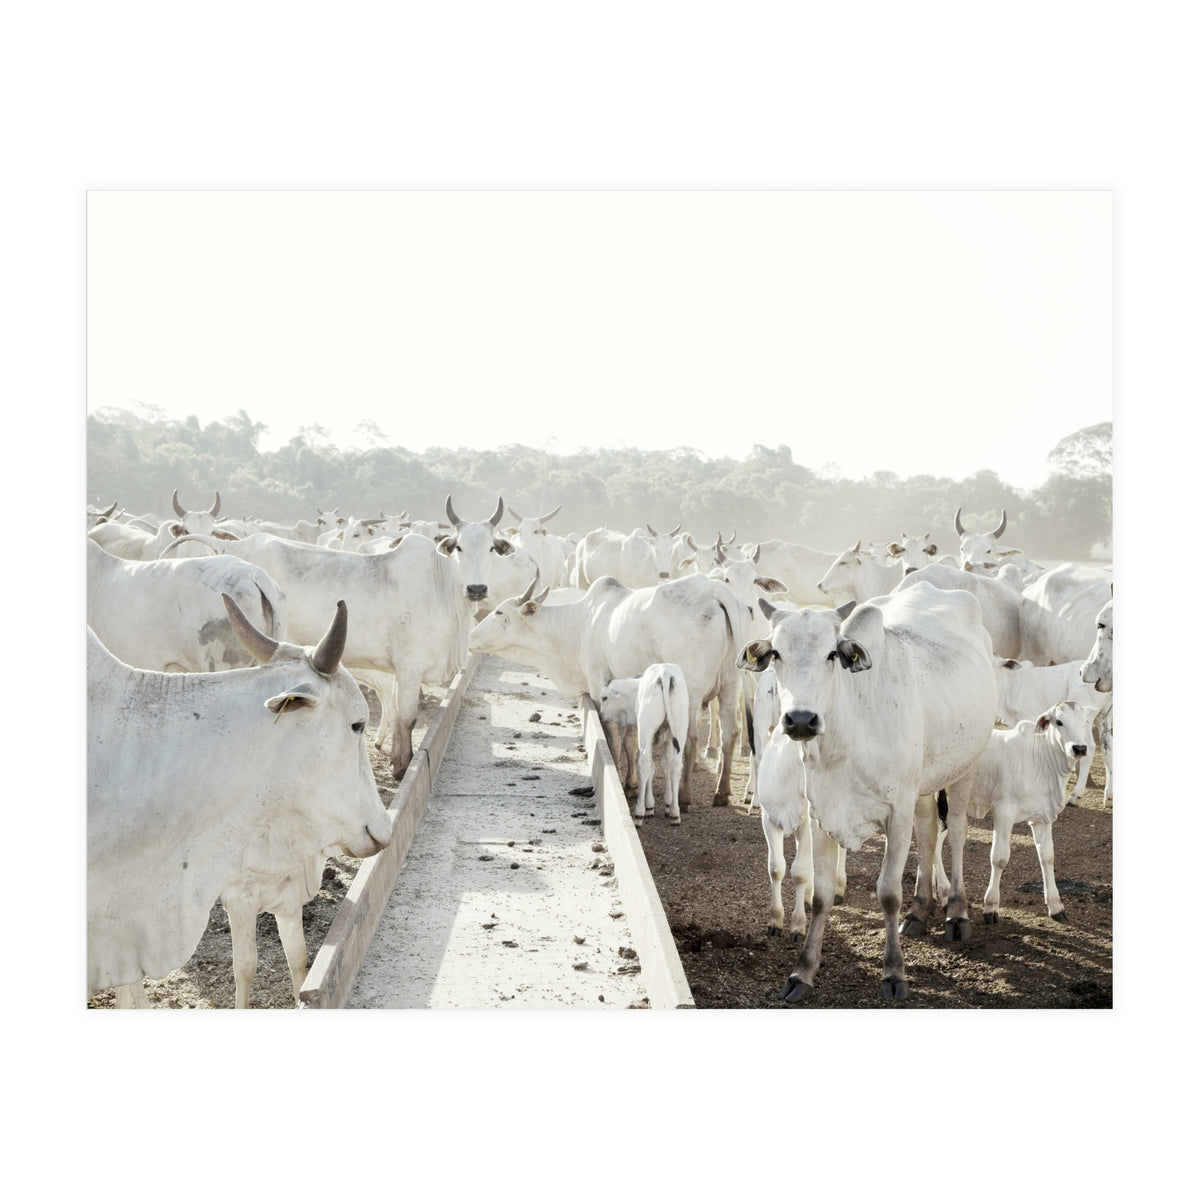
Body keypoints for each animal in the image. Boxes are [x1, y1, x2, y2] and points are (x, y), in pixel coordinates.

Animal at [469, 571, 746, 805]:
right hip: (731, 684)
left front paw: (619, 779)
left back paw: (684, 795)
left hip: (691, 691)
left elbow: (613, 738)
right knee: (730, 732)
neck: (581, 623)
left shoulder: (599, 687)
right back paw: (722, 792)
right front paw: (632, 784)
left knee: (690, 738)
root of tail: (713, 589)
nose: (472, 637)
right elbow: (631, 741)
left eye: (499, 612)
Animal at [598, 664, 690, 826]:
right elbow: (665, 765)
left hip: (646, 731)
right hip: (680, 728)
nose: (601, 715)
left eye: (604, 698)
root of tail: (665, 673)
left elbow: (651, 767)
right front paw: (667, 804)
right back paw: (675, 813)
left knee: (644, 764)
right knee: (676, 765)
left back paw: (639, 813)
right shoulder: (668, 738)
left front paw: (649, 807)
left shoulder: (648, 736)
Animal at [737, 582, 998, 1003]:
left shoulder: (896, 812)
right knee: (928, 832)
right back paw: (919, 910)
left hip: (965, 766)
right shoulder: (822, 815)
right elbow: (821, 894)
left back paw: (956, 913)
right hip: (922, 785)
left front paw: (894, 973)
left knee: (956, 831)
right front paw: (802, 972)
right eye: (776, 652)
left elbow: (888, 893)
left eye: (832, 653)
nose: (801, 720)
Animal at [966, 700, 1097, 924]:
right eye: (1059, 721)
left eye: (1086, 721)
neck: (1041, 761)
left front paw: (1056, 906)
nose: (1079, 748)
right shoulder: (1003, 810)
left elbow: (1047, 857)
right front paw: (990, 906)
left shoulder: (1042, 817)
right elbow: (999, 858)